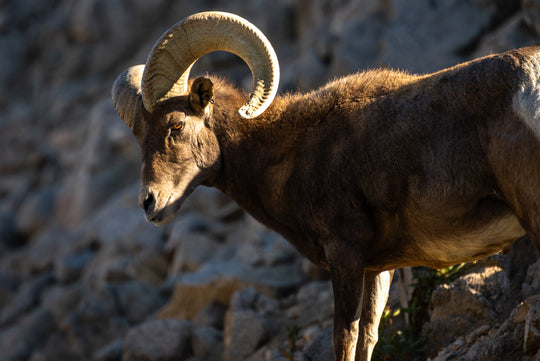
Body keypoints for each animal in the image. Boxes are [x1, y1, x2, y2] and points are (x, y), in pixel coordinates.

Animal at [112, 11, 536, 360]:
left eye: (176, 125)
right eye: (140, 137)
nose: (150, 203)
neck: (290, 150)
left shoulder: (344, 251)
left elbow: (344, 337)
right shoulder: (378, 268)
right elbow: (368, 336)